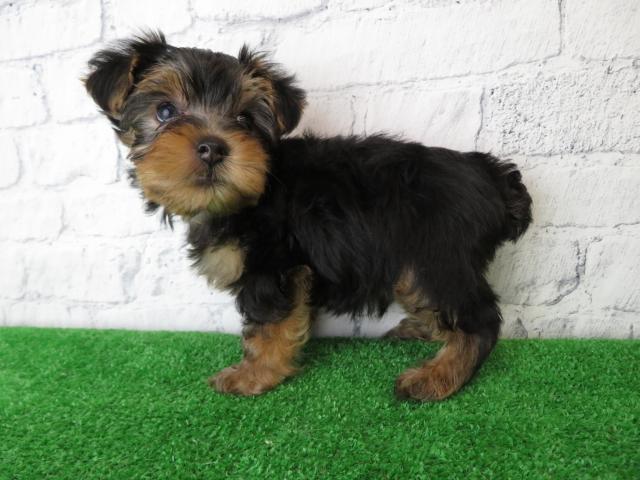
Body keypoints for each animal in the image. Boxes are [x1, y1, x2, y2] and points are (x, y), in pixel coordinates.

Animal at [85, 32, 532, 401]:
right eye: (164, 111)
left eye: (245, 119)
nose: (213, 147)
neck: (251, 192)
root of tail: (494, 176)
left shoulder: (271, 267)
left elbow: (268, 325)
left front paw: (252, 376)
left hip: (435, 257)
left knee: (480, 319)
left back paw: (437, 377)